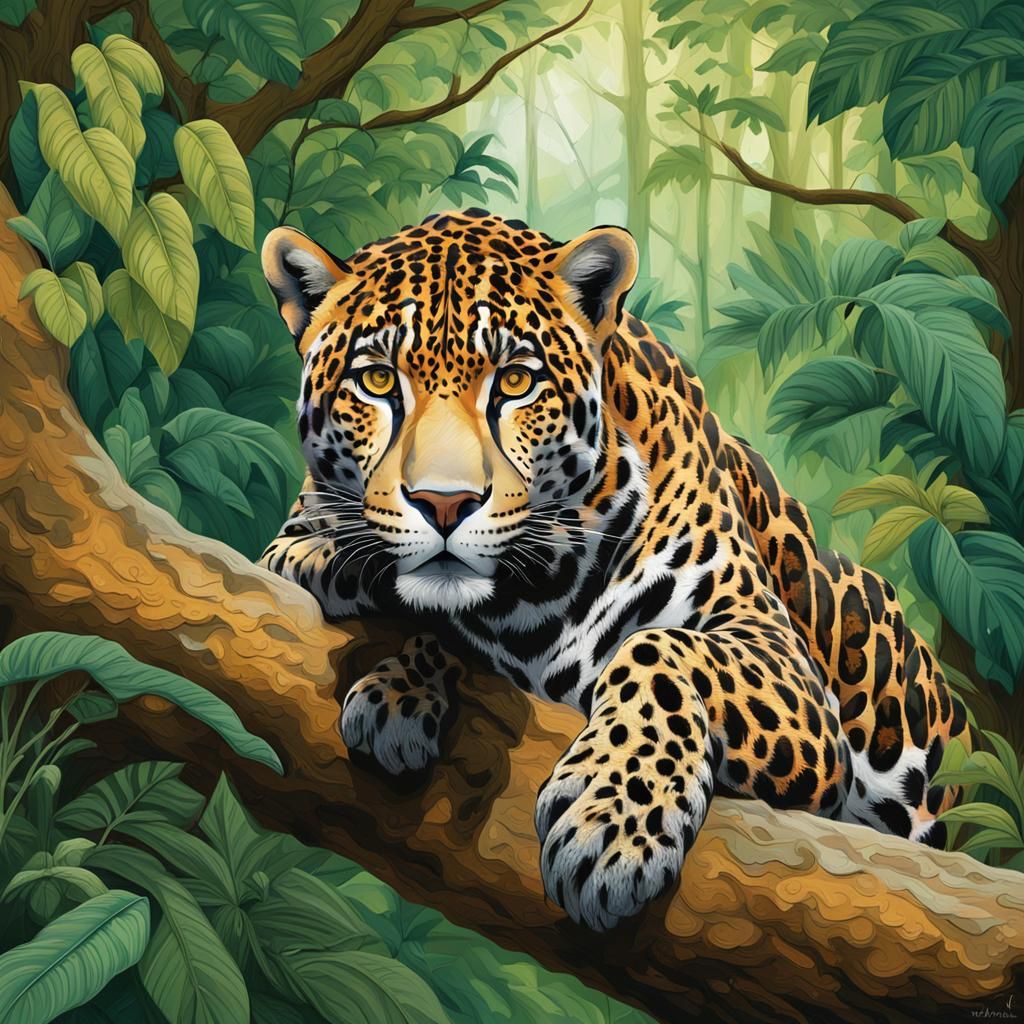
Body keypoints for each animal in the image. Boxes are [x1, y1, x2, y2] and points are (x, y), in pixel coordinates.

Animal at [258, 209, 970, 932]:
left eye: (516, 381)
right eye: (377, 382)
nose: (445, 502)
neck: (536, 591)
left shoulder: (782, 665)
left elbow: (657, 647)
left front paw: (616, 824)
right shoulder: (296, 535)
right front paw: (396, 679)